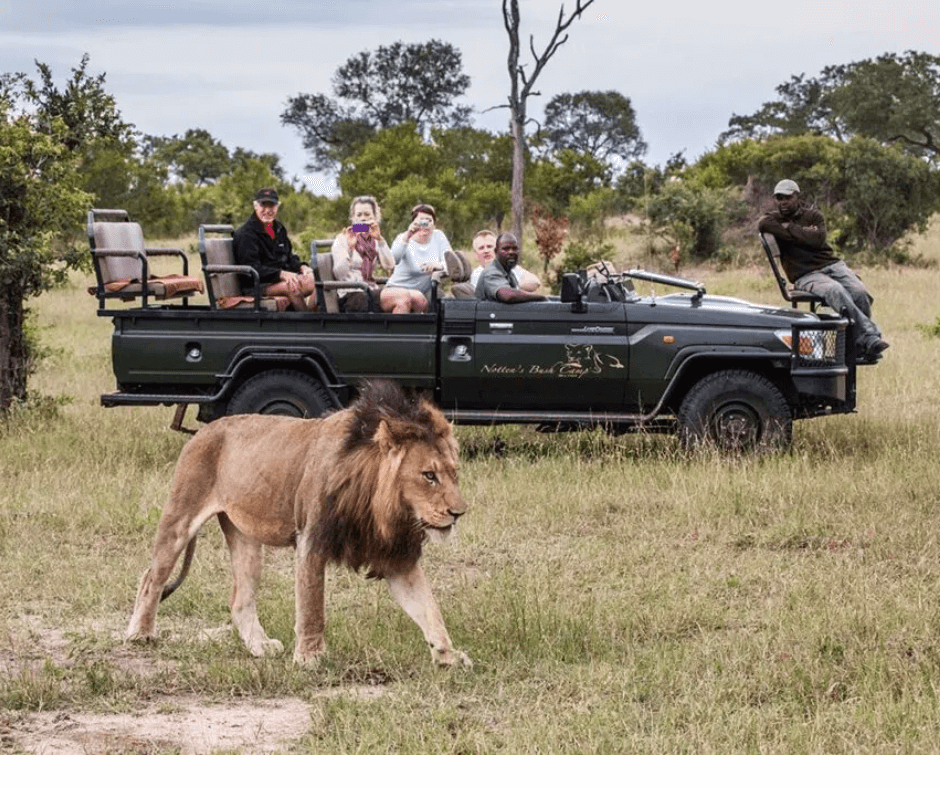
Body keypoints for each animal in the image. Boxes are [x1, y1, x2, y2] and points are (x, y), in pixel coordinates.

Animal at [126, 379, 471, 668]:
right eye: (429, 476)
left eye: (454, 473)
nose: (459, 512)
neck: (379, 504)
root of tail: (204, 431)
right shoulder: (311, 539)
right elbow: (312, 606)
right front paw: (310, 658)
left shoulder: (396, 556)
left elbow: (429, 608)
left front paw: (448, 654)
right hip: (181, 516)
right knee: (151, 578)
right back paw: (139, 634)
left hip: (245, 536)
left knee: (240, 599)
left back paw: (260, 646)